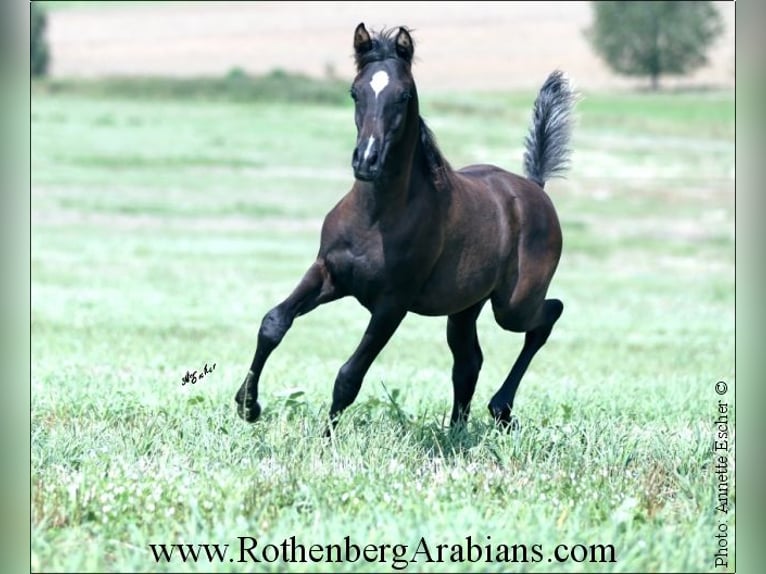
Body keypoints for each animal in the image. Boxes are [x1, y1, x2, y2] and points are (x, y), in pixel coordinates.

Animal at [234, 24, 576, 434]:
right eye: (355, 91)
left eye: (404, 95)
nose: (366, 160)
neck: (375, 217)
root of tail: (536, 188)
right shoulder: (329, 274)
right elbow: (273, 323)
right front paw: (247, 405)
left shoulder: (392, 304)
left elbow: (349, 375)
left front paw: (325, 437)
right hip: (465, 306)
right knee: (468, 362)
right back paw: (456, 431)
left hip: (512, 305)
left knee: (547, 316)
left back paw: (500, 409)